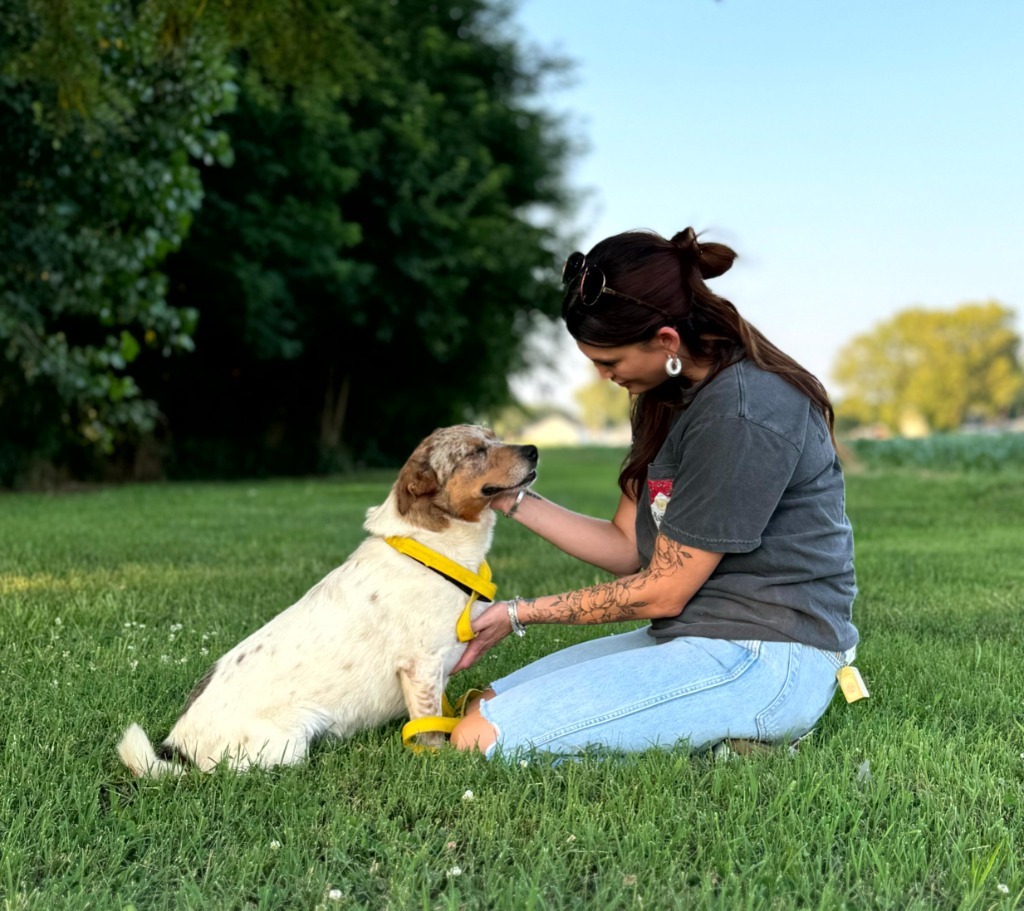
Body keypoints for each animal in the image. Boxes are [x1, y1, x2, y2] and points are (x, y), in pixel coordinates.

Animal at [118, 425, 536, 773]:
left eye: (494, 436)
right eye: (475, 451)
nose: (533, 449)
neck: (431, 550)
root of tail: (178, 746)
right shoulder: (421, 669)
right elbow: (430, 731)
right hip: (290, 744)